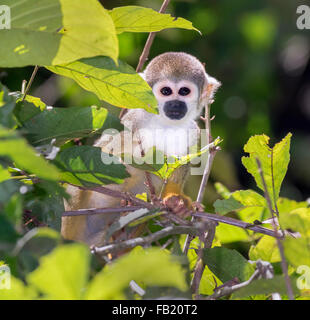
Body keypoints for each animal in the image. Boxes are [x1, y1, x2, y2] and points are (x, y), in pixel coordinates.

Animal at [61, 52, 220, 246]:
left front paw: (177, 203)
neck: (165, 124)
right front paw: (137, 155)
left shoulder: (193, 132)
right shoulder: (134, 119)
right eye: (166, 91)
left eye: (184, 91)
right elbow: (105, 147)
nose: (175, 104)